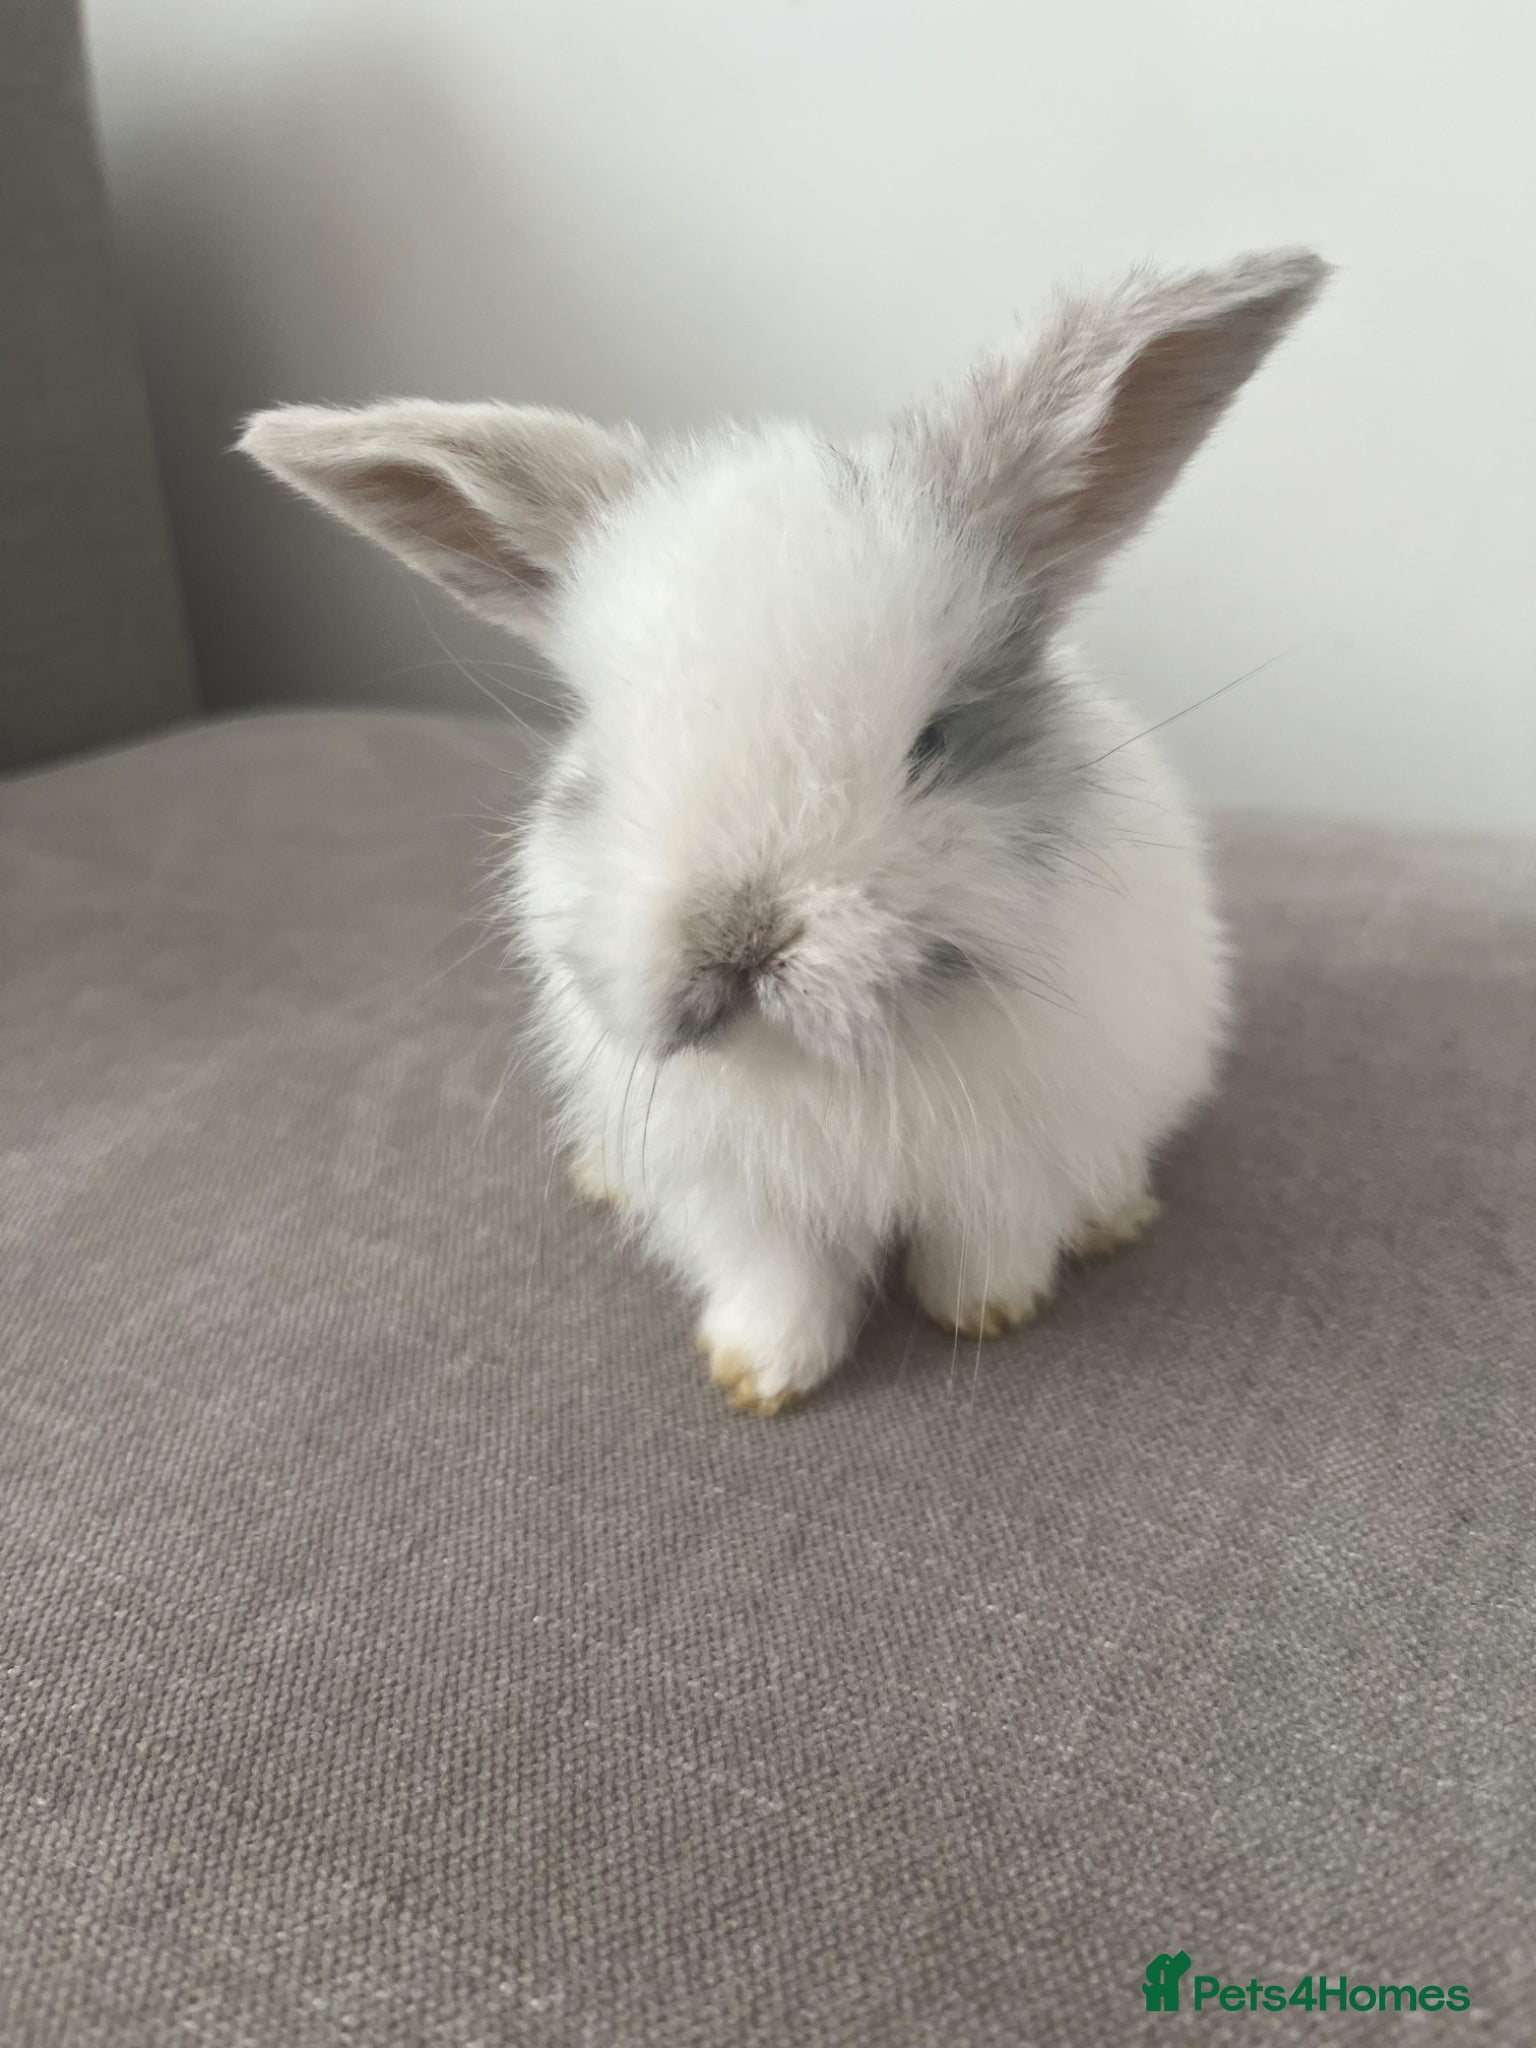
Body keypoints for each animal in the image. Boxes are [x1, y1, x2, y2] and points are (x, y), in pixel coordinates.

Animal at [241, 248, 1328, 1413]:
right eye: (601, 748)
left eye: (933, 739)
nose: (739, 941)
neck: (823, 1065)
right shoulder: (736, 1201)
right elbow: (782, 1283)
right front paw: (758, 1377)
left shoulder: (1013, 1164)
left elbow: (985, 1247)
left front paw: (986, 1315)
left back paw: (1116, 1218)